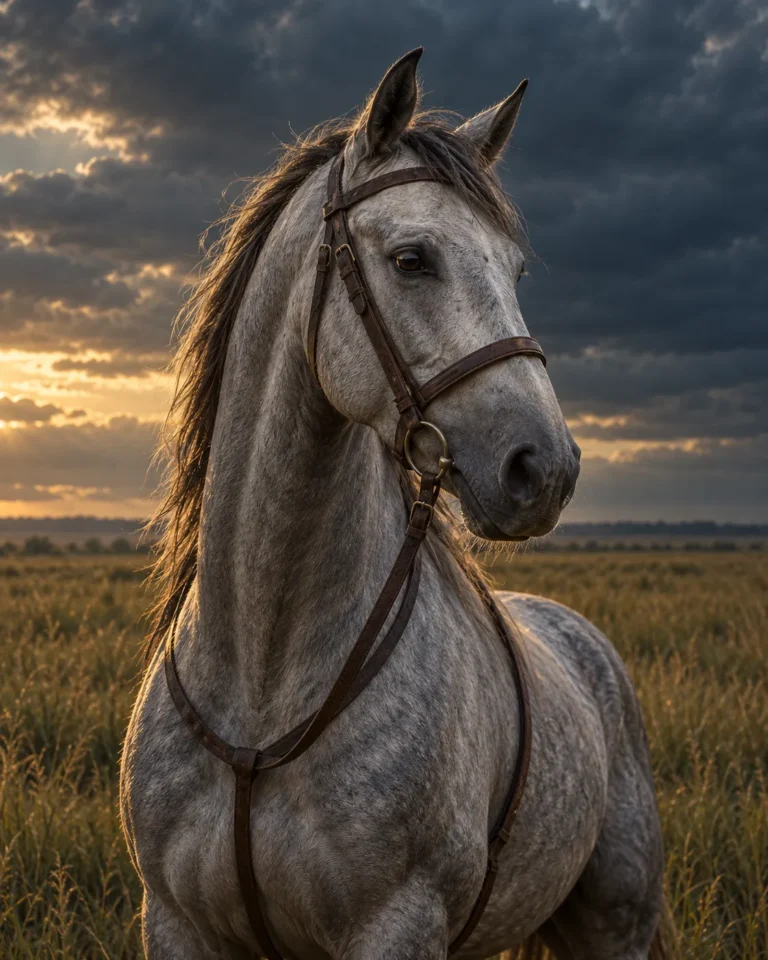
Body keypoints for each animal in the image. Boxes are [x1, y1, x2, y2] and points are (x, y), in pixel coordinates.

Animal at [121, 48, 669, 960]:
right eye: (413, 258)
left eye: (515, 270)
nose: (545, 469)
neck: (262, 681)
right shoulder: (178, 924)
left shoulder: (397, 923)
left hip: (613, 924)